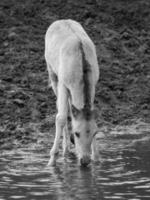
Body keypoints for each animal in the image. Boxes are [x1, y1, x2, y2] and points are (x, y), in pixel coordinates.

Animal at [45, 19, 100, 166]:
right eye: (77, 133)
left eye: (94, 133)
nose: (85, 161)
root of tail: (61, 20)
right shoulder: (63, 84)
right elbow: (61, 117)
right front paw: (52, 159)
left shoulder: (94, 84)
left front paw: (96, 158)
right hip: (52, 73)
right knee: (61, 106)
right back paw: (65, 149)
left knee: (71, 106)